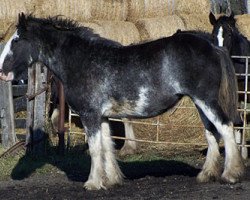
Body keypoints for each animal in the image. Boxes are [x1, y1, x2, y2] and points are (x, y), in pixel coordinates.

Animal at [0, 14, 244, 191]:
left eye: (16, 40)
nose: (3, 72)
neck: (82, 60)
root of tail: (214, 46)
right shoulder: (103, 117)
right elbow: (107, 146)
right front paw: (111, 180)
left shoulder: (90, 115)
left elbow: (95, 149)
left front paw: (92, 183)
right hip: (200, 103)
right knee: (212, 134)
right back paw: (206, 175)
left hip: (207, 101)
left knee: (226, 128)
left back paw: (231, 175)